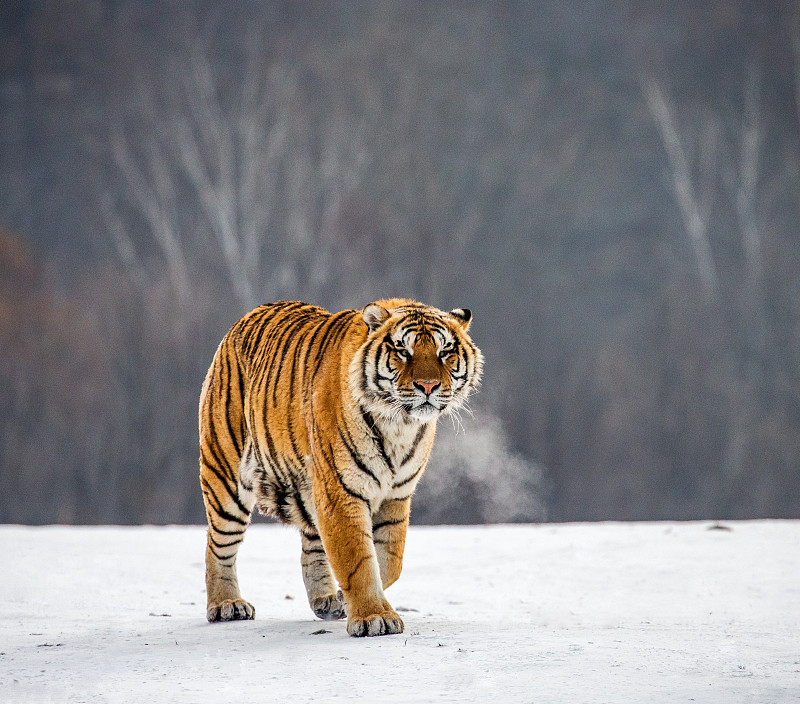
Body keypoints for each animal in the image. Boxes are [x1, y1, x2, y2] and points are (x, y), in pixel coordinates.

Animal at [198, 296, 488, 640]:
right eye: (403, 351)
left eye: (445, 352)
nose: (427, 385)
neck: (399, 425)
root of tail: (246, 317)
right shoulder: (341, 490)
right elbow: (358, 560)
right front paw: (375, 617)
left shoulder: (396, 496)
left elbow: (388, 560)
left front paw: (344, 601)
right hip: (226, 479)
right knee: (218, 546)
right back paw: (226, 605)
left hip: (308, 487)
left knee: (312, 545)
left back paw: (325, 601)